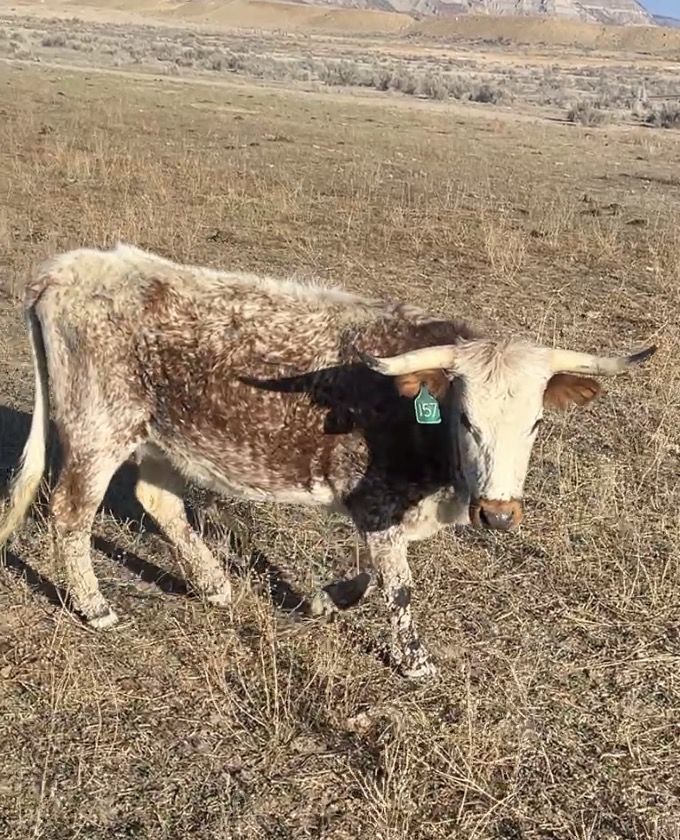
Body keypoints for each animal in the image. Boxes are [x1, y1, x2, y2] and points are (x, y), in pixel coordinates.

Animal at [0, 244, 655, 677]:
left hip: (162, 435)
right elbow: (397, 585)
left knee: (157, 501)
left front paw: (323, 600)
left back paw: (214, 585)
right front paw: (413, 660)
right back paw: (95, 607)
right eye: (466, 418)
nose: (497, 514)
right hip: (98, 430)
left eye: (536, 424)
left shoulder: (376, 505)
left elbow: (370, 570)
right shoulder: (379, 499)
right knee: (70, 513)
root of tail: (67, 269)